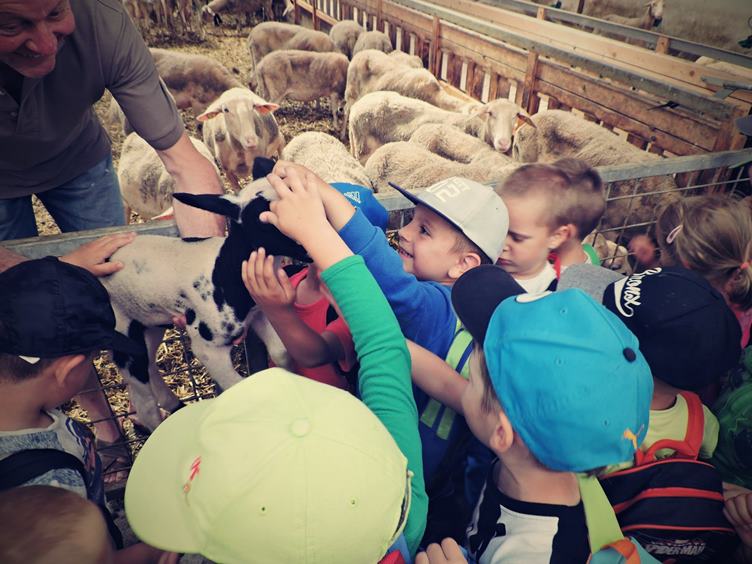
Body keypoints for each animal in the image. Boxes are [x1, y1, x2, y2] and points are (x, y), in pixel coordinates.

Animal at [103, 179, 309, 432]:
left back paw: (175, 406)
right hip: (122, 331)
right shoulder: (208, 347)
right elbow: (238, 386)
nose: (309, 247)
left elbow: (281, 353)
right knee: (144, 401)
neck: (225, 271)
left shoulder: (258, 314)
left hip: (149, 321)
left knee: (150, 365)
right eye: (265, 218)